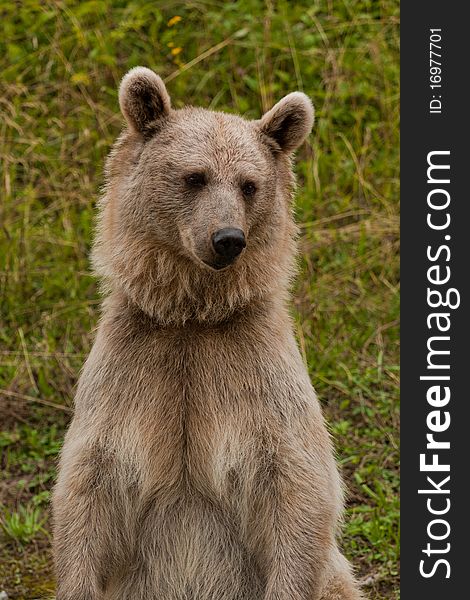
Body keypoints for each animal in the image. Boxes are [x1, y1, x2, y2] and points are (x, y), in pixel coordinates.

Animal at [52, 67, 364, 600]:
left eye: (249, 185)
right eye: (194, 177)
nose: (227, 239)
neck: (192, 316)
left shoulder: (253, 375)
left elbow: (298, 488)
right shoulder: (131, 372)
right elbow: (89, 485)